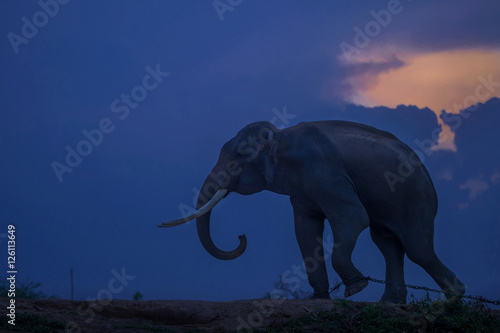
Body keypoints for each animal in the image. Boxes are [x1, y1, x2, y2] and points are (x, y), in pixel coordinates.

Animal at [159, 120, 464, 302]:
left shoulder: (324, 171)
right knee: (388, 244)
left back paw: (454, 297)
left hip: (415, 197)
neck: (280, 136)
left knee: (416, 248)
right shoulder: (303, 187)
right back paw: (390, 304)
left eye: (238, 156)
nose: (241, 236)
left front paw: (356, 288)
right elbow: (305, 230)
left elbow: (353, 217)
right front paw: (319, 299)